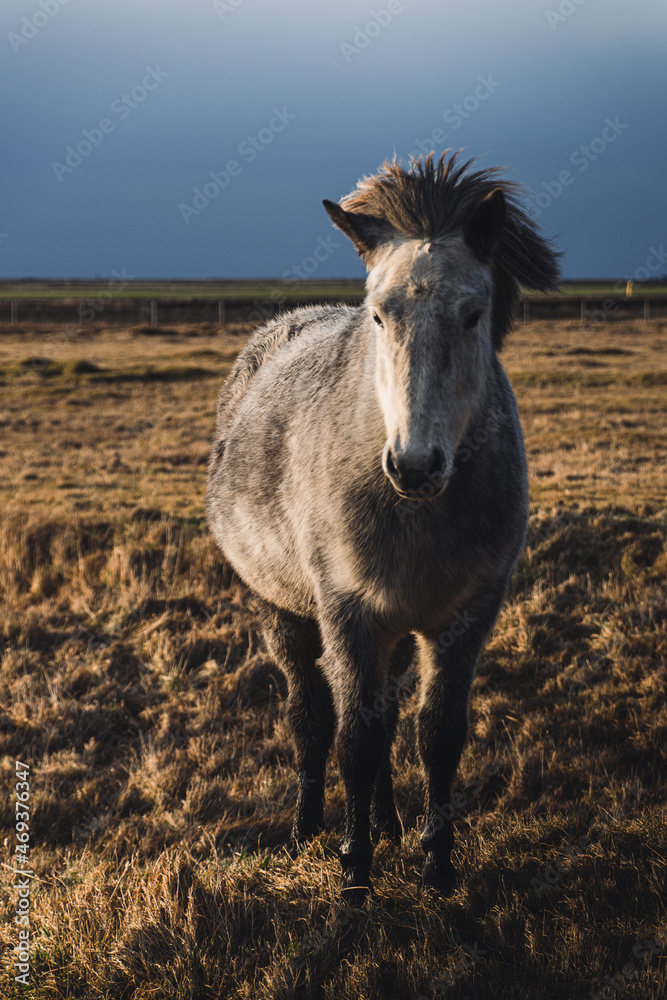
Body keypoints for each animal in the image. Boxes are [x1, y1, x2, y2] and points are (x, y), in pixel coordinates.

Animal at [206, 151, 560, 901]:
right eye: (376, 315)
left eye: (473, 314)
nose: (415, 465)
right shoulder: (349, 613)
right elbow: (354, 741)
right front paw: (354, 875)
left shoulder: (463, 617)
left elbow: (435, 736)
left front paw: (436, 863)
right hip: (281, 610)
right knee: (310, 718)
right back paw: (308, 827)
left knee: (386, 717)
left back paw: (391, 823)